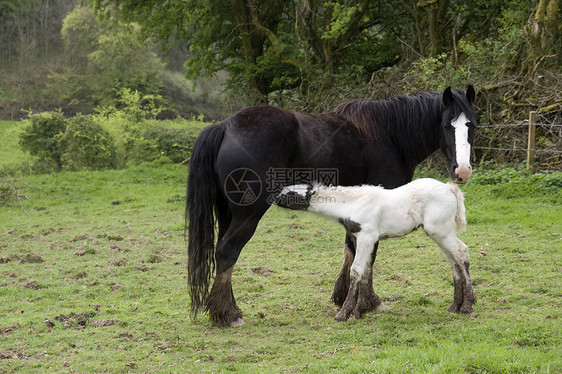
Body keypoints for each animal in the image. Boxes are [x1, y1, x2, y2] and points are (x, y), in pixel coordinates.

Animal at [274, 178, 474, 322]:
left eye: (291, 193)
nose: (273, 198)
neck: (351, 204)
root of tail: (451, 189)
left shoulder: (367, 237)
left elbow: (356, 271)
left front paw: (344, 314)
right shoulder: (359, 238)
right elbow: (365, 270)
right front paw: (359, 311)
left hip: (439, 231)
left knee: (461, 253)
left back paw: (467, 305)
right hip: (441, 232)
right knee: (454, 260)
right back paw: (455, 306)